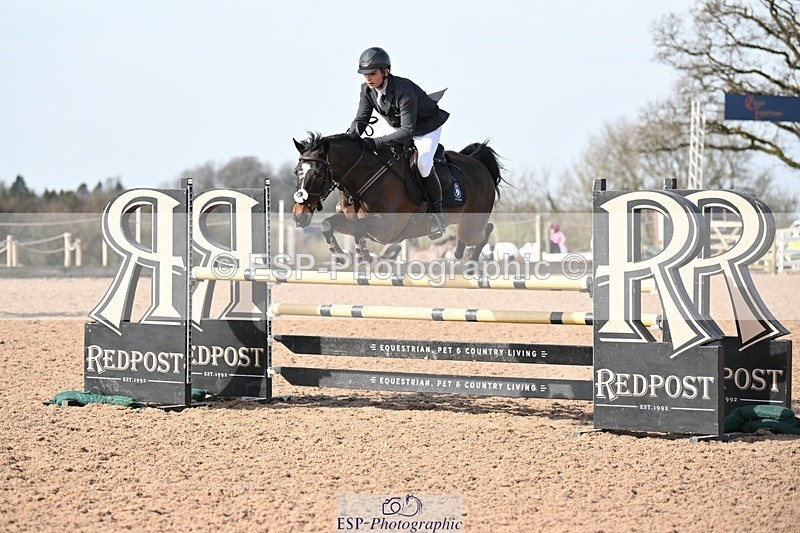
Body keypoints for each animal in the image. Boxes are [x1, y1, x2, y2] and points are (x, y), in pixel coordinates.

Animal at [291, 132, 504, 262]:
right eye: (296, 172)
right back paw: (460, 254)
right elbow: (327, 224)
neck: (364, 175)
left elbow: (360, 228)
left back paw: (469, 262)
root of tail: (479, 163)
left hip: (472, 224)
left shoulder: (386, 228)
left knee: (484, 232)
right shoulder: (349, 219)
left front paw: (365, 255)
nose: (298, 216)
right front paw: (342, 256)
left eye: (319, 174)